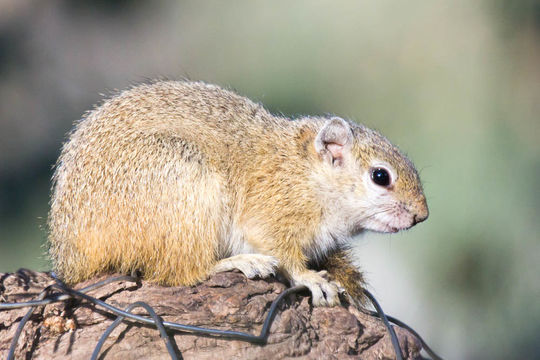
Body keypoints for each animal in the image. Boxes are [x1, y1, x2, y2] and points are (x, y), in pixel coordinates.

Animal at [49, 81, 430, 306]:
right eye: (380, 176)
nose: (421, 215)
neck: (306, 175)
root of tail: (70, 258)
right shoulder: (272, 211)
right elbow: (282, 252)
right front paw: (309, 278)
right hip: (182, 186)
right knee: (180, 272)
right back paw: (238, 262)